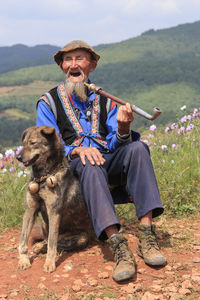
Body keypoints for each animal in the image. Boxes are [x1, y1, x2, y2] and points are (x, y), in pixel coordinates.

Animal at [16, 125, 94, 274]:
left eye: (33, 143)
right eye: (23, 143)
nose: (17, 157)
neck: (42, 177)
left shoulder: (53, 211)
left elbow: (52, 244)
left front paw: (49, 264)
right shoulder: (30, 209)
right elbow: (23, 240)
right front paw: (23, 260)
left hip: (82, 237)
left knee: (57, 241)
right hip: (44, 224)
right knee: (48, 239)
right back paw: (40, 246)